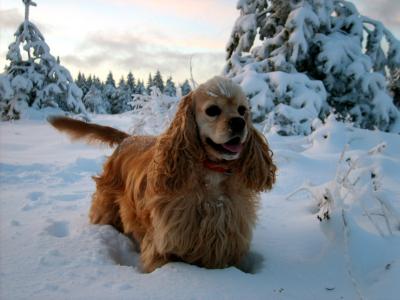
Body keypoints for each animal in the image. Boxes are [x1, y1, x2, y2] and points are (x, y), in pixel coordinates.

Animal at [48, 76, 276, 274]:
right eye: (212, 110)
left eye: (243, 110)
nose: (239, 122)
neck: (211, 178)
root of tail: (128, 138)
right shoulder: (165, 246)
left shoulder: (228, 242)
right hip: (106, 203)